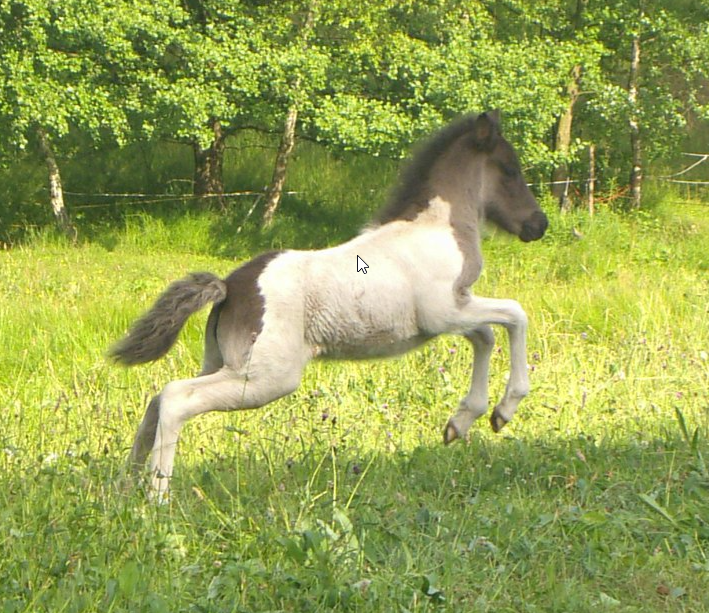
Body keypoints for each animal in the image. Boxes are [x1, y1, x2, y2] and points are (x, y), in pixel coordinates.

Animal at [110, 110, 548, 498]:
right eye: (510, 169)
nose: (538, 224)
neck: (436, 230)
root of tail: (229, 288)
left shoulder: (454, 313)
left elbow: (486, 336)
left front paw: (462, 422)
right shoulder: (445, 312)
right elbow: (515, 315)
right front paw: (505, 411)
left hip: (225, 363)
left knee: (157, 400)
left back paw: (125, 489)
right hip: (264, 377)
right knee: (175, 398)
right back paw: (157, 497)